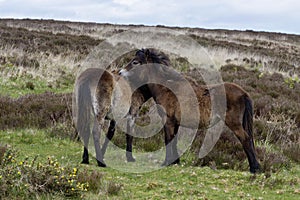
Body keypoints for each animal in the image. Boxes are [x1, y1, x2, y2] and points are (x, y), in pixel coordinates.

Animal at [119, 48, 260, 173]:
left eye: (135, 62)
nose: (120, 72)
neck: (167, 89)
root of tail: (244, 93)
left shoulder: (168, 122)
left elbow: (168, 140)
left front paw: (166, 162)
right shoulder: (175, 123)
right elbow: (173, 140)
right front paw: (175, 161)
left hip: (234, 123)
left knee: (246, 139)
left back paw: (254, 168)